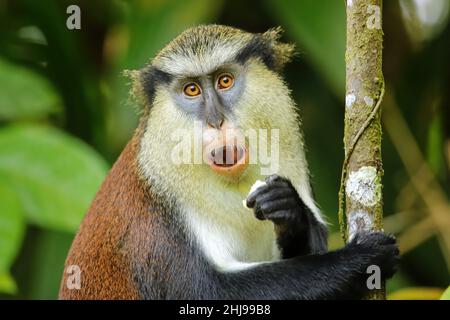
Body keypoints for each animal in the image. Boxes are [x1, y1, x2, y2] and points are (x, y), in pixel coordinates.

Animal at [59, 25, 398, 300]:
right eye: (191, 89)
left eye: (224, 81)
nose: (215, 120)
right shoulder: (153, 221)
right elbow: (207, 291)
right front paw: (363, 258)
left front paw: (288, 207)